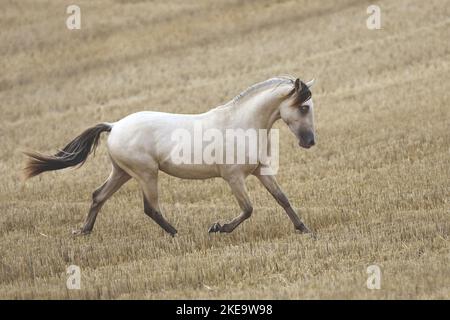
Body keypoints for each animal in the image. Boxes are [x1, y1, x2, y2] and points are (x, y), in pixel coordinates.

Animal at [22, 75, 314, 235]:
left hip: (123, 172)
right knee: (150, 208)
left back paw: (83, 231)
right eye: (304, 106)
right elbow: (248, 208)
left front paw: (304, 229)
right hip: (146, 173)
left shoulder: (260, 170)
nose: (310, 141)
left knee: (98, 196)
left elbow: (282, 199)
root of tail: (114, 126)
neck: (242, 123)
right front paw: (218, 227)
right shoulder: (233, 177)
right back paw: (178, 233)